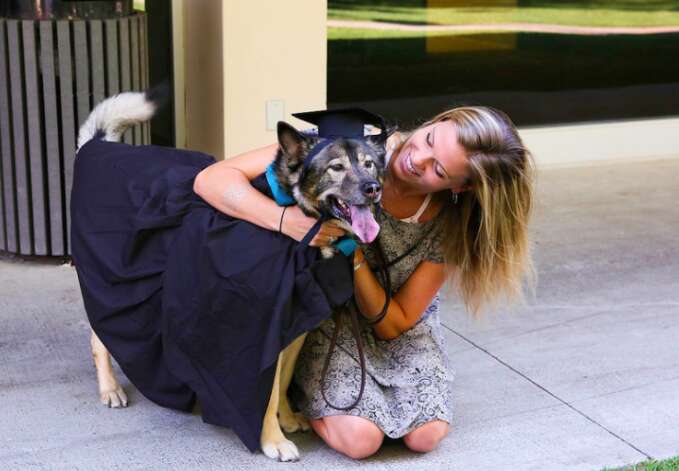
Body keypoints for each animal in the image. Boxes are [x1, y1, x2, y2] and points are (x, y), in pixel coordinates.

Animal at [75, 89, 388, 460]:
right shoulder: (259, 330)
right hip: (112, 284)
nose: (372, 188)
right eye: (336, 167)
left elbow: (282, 380)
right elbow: (264, 393)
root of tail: (96, 147)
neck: (294, 213)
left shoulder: (295, 327)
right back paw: (109, 387)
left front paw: (287, 418)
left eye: (369, 164)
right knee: (101, 332)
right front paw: (273, 441)